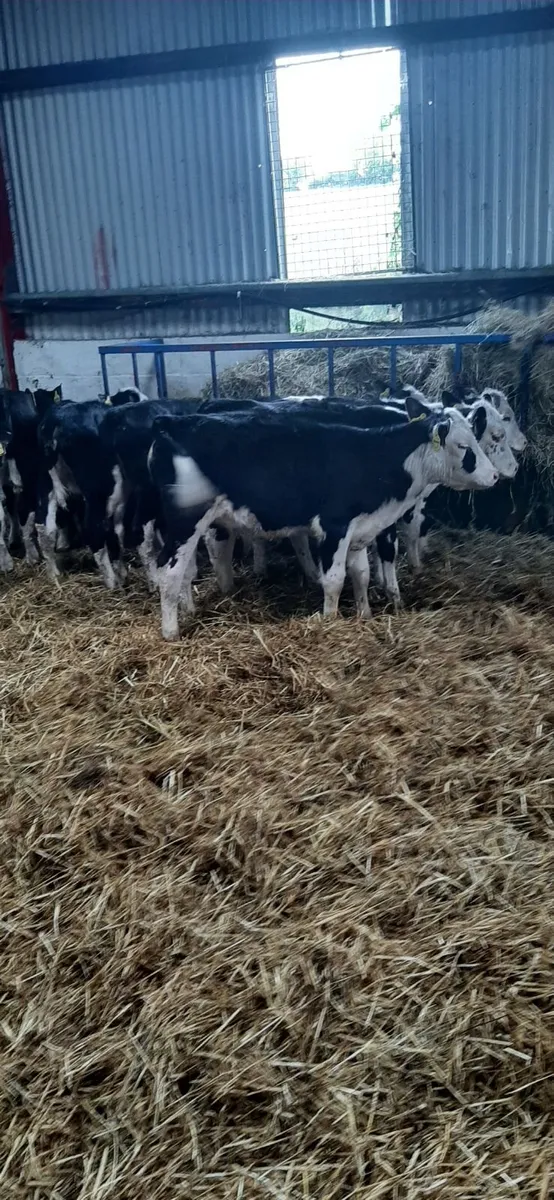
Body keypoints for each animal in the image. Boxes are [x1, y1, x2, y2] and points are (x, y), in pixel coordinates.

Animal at [148, 398, 498, 639]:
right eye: (463, 446)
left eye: (476, 437)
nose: (494, 475)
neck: (374, 458)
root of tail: (172, 421)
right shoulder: (335, 526)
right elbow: (335, 580)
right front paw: (331, 621)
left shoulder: (361, 530)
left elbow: (361, 575)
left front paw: (365, 615)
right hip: (186, 521)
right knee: (168, 571)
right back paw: (170, 631)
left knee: (185, 569)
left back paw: (187, 609)